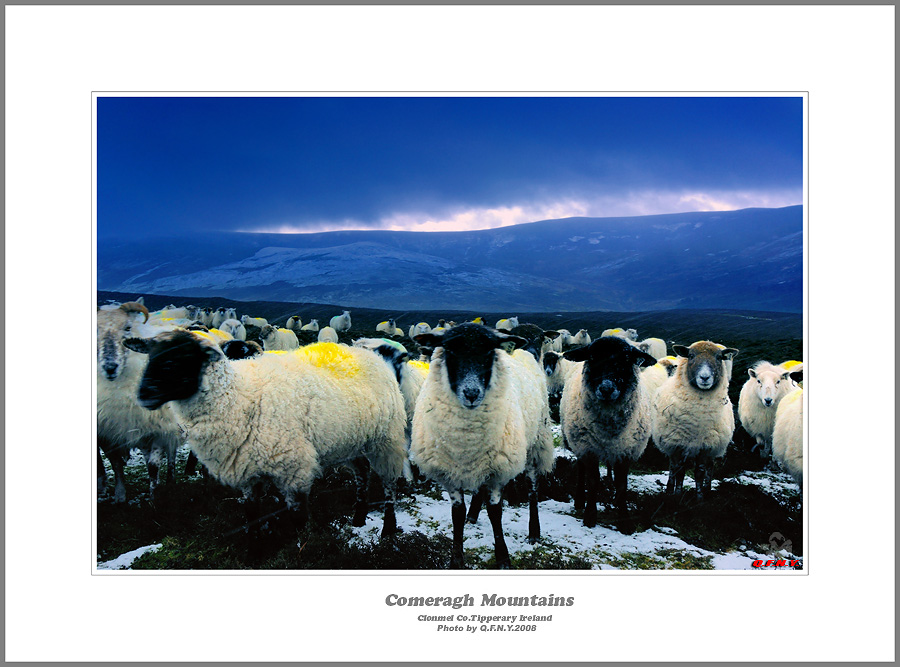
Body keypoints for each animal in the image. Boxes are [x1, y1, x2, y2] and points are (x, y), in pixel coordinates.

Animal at [410, 324, 556, 568]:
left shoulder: (498, 469)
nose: (471, 394)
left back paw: (534, 531)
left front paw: (503, 558)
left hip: (535, 442)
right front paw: (456, 560)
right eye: (450, 350)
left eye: (489, 351)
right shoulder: (450, 472)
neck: (467, 437)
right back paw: (473, 513)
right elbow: (457, 514)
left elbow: (495, 512)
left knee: (532, 487)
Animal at [560, 336, 656, 528]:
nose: (606, 389)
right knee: (581, 469)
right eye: (592, 357)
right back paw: (579, 500)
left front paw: (624, 519)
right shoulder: (588, 449)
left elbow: (622, 484)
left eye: (626, 358)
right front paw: (590, 516)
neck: (609, 428)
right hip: (577, 441)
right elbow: (593, 480)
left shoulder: (626, 451)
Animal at [652, 342, 740, 498]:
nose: (704, 377)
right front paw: (676, 495)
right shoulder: (678, 445)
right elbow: (679, 472)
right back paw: (669, 489)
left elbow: (699, 472)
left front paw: (700, 496)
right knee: (672, 468)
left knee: (709, 468)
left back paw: (708, 488)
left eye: (719, 357)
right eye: (691, 356)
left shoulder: (704, 447)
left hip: (713, 448)